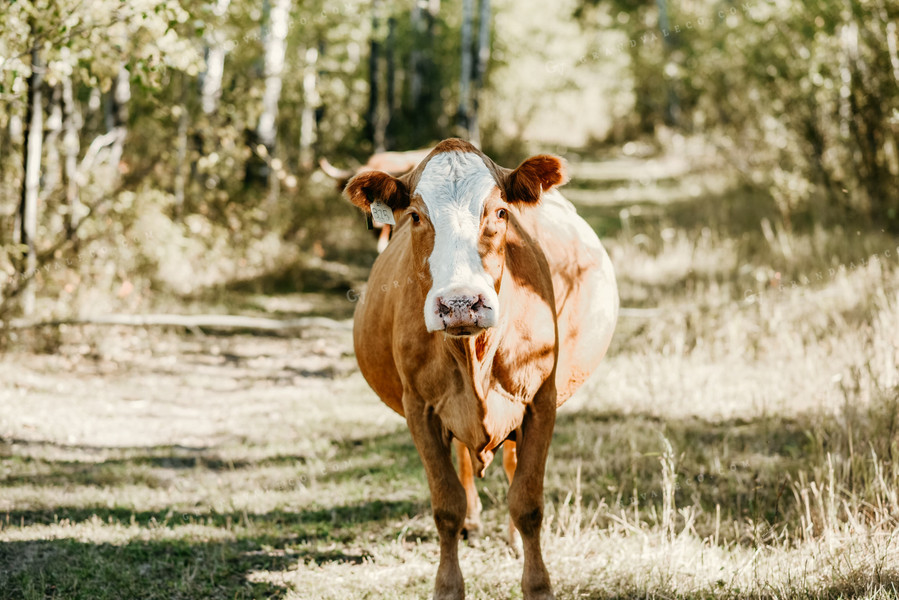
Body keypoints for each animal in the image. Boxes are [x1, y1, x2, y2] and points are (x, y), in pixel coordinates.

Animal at [344, 138, 620, 596]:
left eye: (501, 212)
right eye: (415, 216)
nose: (460, 303)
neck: (473, 354)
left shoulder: (541, 402)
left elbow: (527, 502)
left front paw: (537, 586)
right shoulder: (419, 408)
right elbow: (446, 505)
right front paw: (448, 586)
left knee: (508, 464)